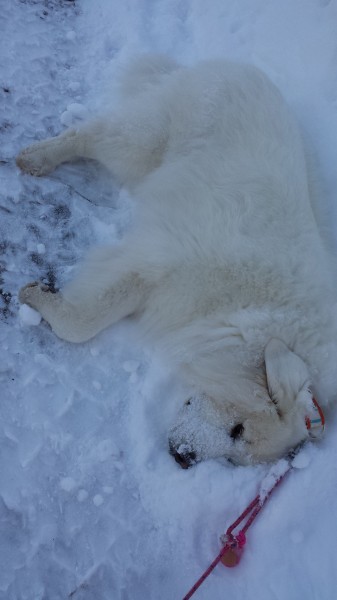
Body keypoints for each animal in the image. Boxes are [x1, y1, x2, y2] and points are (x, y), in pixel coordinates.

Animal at [17, 55, 336, 468]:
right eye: (239, 430)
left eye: (234, 458)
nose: (183, 457)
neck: (247, 309)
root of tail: (232, 67)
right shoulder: (162, 261)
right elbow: (83, 323)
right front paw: (38, 296)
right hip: (147, 140)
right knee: (91, 135)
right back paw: (36, 158)